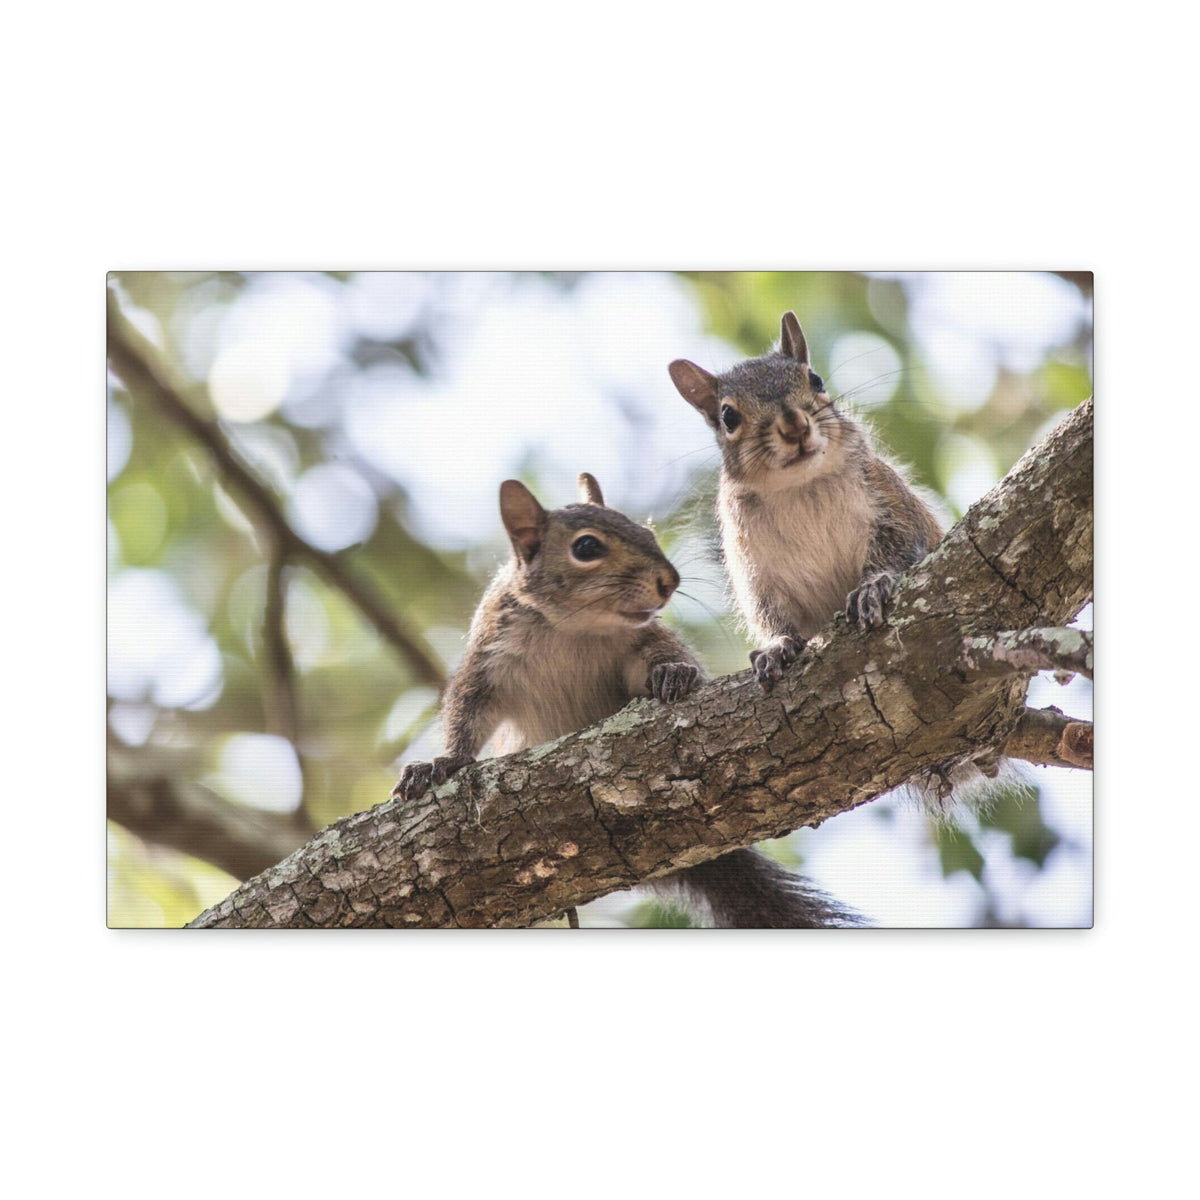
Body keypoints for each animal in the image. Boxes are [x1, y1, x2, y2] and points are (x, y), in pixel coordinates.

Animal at [393, 472, 860, 928]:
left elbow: (661, 658)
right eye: (586, 547)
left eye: (647, 533)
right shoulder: (489, 657)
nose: (670, 581)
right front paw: (442, 763)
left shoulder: (641, 640)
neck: (573, 629)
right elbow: (466, 711)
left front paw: (673, 673)